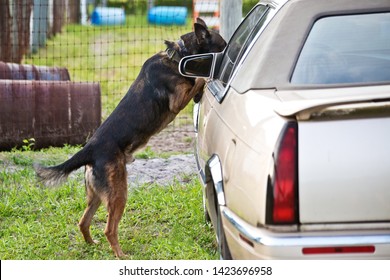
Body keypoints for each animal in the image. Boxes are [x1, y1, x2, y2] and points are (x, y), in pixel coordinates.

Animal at [35, 18, 227, 258]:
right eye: (223, 45)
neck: (177, 55)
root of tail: (89, 150)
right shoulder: (177, 101)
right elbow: (199, 80)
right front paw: (203, 83)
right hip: (119, 192)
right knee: (109, 229)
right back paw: (120, 254)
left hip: (97, 194)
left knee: (83, 222)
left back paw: (92, 244)